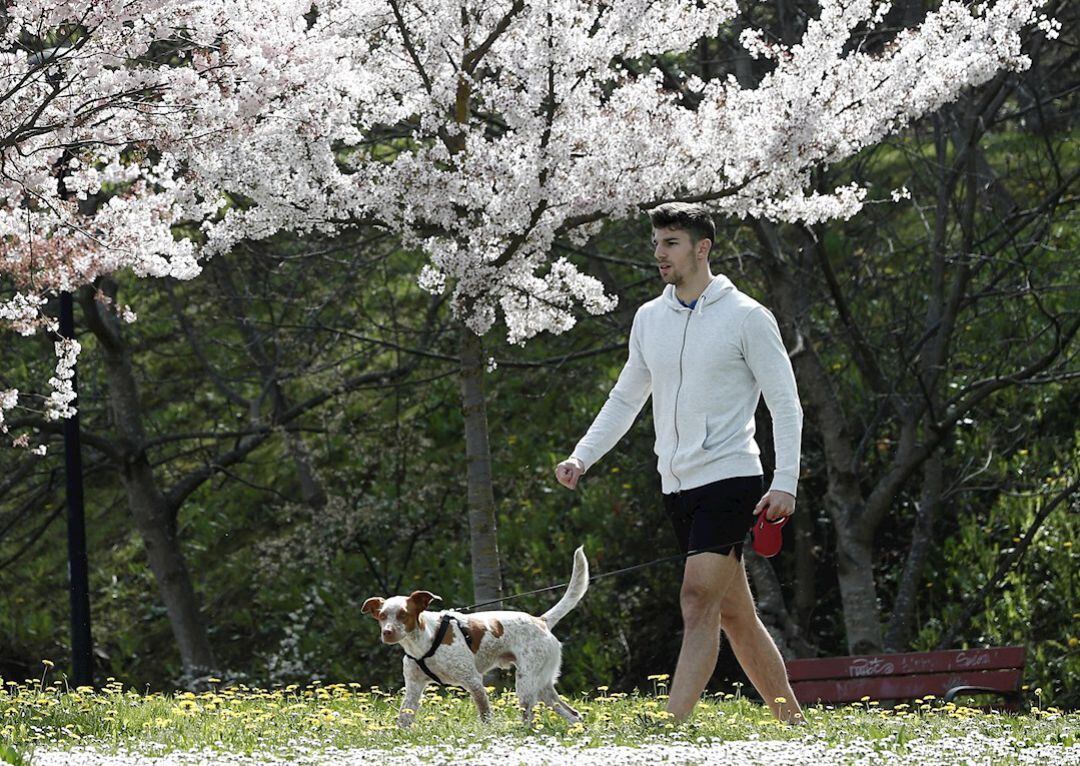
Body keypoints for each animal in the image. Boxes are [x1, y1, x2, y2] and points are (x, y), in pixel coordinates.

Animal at [362, 544, 587, 721]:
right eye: (382, 616)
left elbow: (485, 716)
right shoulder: (413, 688)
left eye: (403, 614)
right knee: (574, 716)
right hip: (542, 687)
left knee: (530, 719)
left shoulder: (473, 681)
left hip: (526, 684)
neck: (423, 644)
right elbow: (403, 720)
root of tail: (541, 621)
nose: (387, 632)